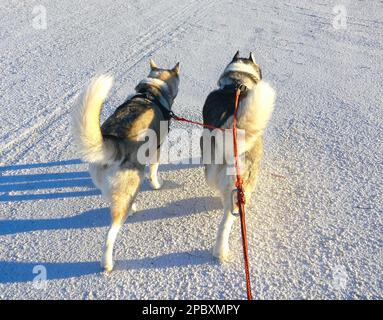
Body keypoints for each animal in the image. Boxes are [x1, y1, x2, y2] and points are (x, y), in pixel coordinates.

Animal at [73, 58, 181, 272]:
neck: (151, 91)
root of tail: (113, 141)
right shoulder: (156, 148)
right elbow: (154, 171)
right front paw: (157, 185)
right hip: (131, 183)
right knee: (110, 235)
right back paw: (107, 263)